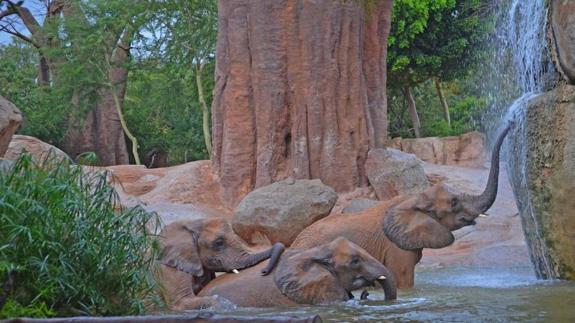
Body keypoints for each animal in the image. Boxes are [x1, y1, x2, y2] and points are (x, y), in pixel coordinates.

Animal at [156, 218, 284, 312]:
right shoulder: (169, 268)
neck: (190, 224)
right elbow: (181, 302)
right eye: (219, 243)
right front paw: (224, 306)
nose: (264, 271)